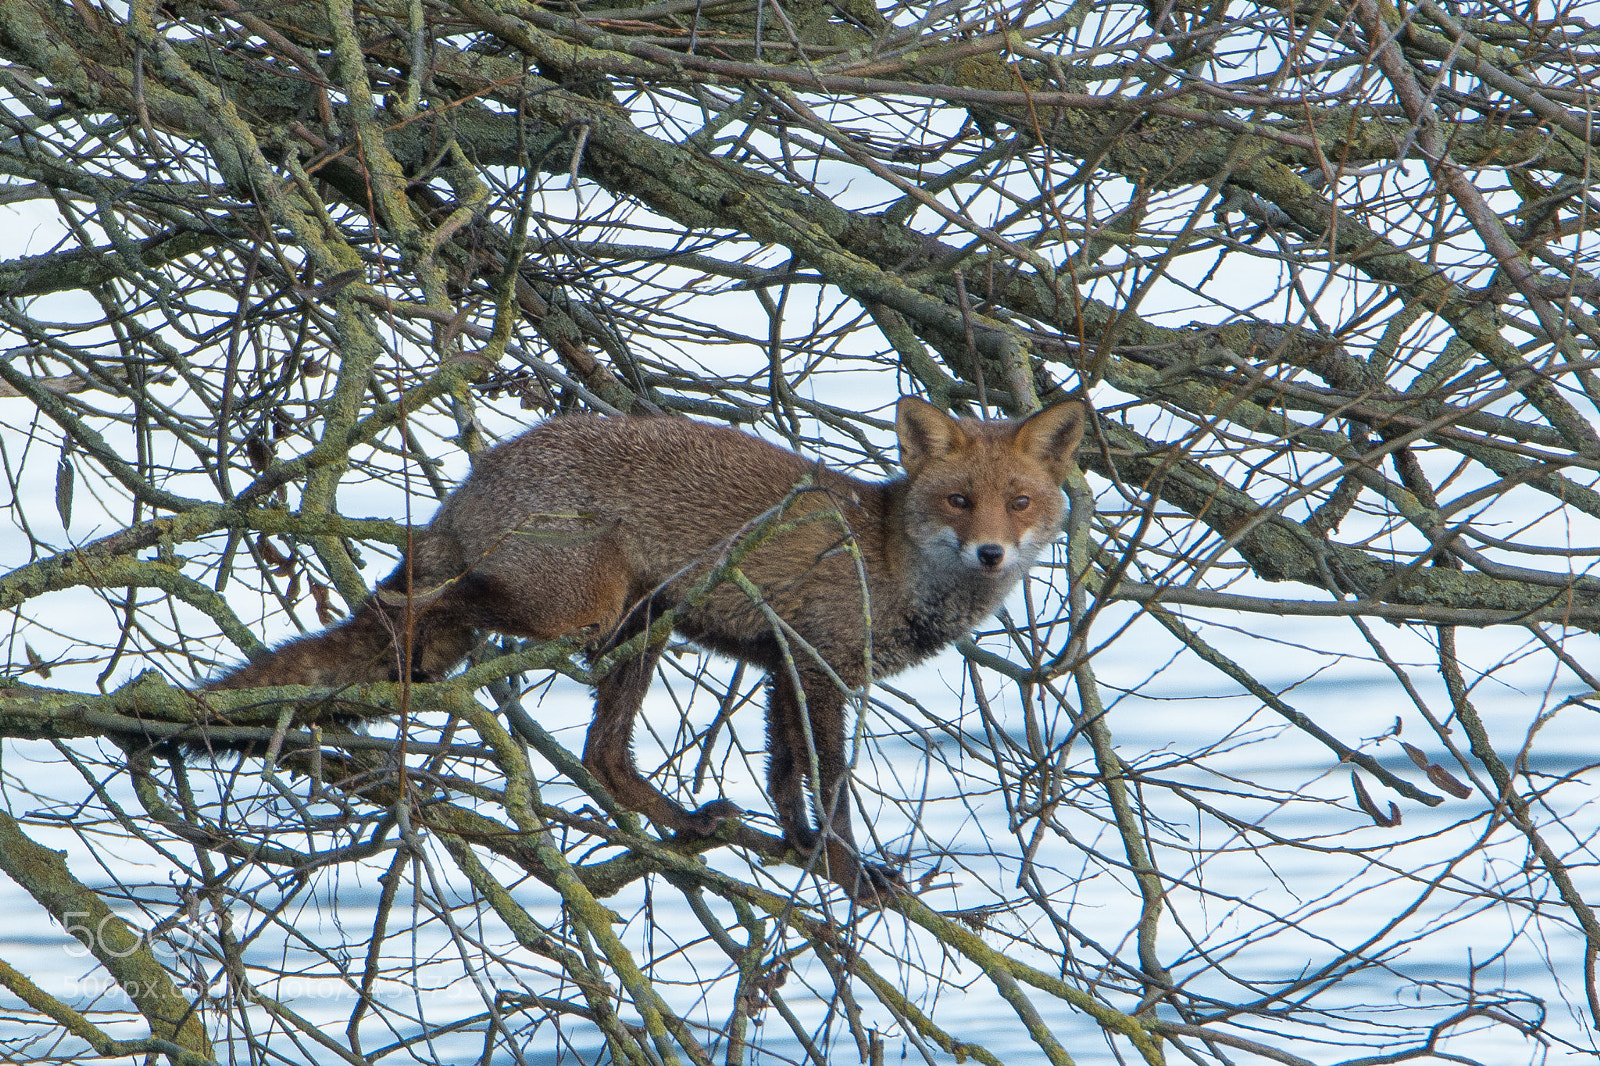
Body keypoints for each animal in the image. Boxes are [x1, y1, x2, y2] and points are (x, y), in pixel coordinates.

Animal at [208, 397, 1088, 896]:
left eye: (1018, 502)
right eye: (959, 501)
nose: (991, 554)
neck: (891, 562)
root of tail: (473, 478)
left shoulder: (783, 663)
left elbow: (785, 775)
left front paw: (800, 848)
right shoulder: (819, 664)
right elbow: (830, 785)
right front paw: (847, 872)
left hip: (638, 631)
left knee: (602, 754)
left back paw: (682, 823)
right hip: (580, 610)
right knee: (433, 604)